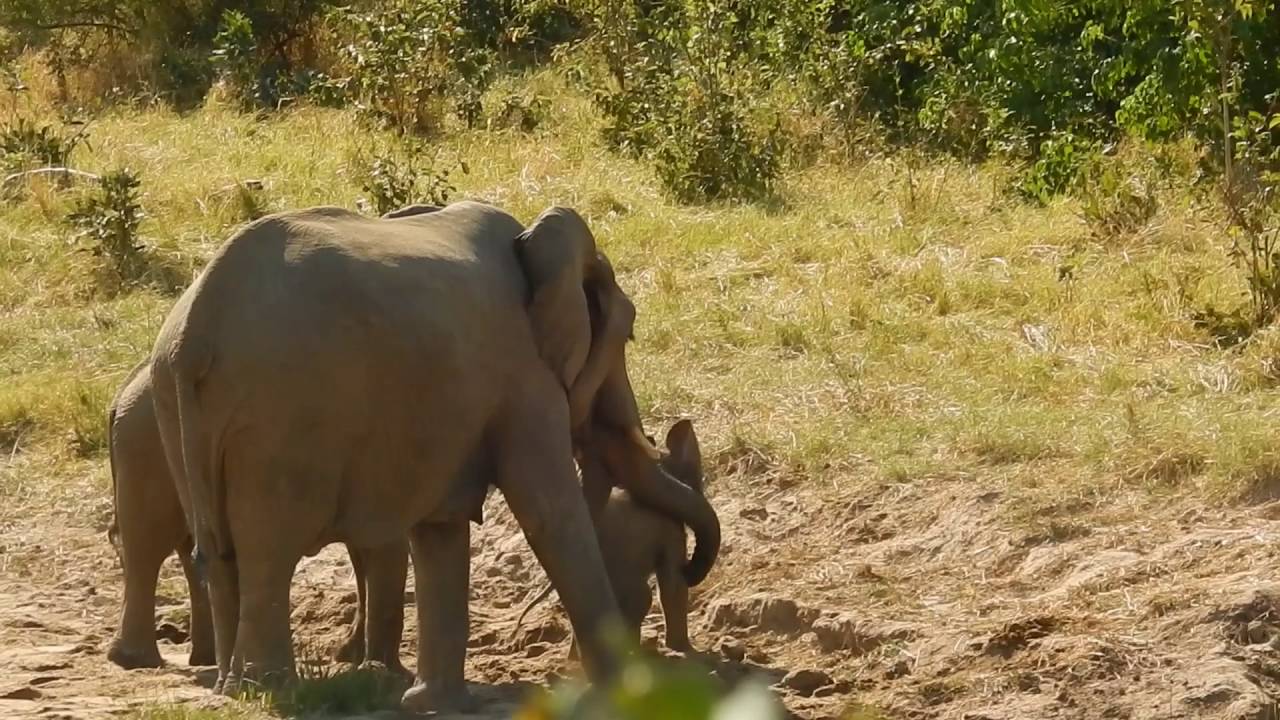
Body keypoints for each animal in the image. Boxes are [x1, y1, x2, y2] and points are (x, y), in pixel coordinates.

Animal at [104, 358, 409, 676]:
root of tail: (122, 393)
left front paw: (349, 655)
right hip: (148, 448)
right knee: (153, 542)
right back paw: (141, 661)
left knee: (168, 546)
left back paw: (194, 658)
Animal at [513, 418, 708, 654]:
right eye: (694, 477)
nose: (691, 568)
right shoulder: (670, 529)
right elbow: (672, 582)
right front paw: (686, 650)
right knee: (641, 598)